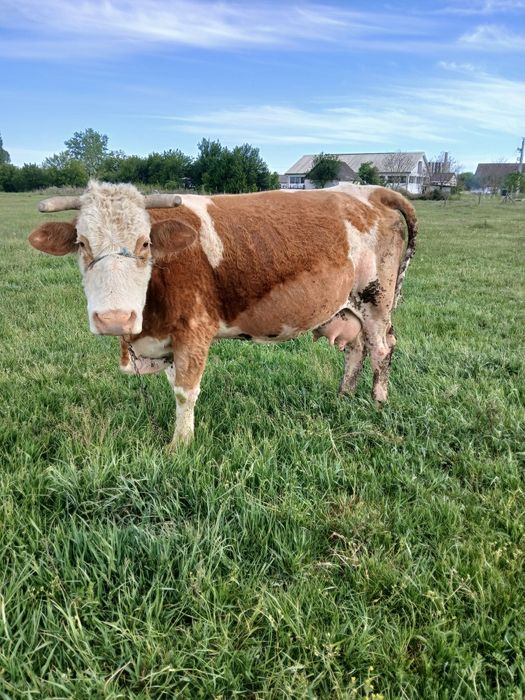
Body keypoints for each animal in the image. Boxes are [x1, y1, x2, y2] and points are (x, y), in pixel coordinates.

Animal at [29, 180, 417, 447]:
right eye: (81, 244)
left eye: (145, 243)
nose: (114, 319)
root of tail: (369, 191)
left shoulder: (194, 329)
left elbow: (185, 391)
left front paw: (180, 446)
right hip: (350, 308)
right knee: (357, 349)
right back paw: (343, 396)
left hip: (376, 300)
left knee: (382, 349)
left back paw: (377, 403)